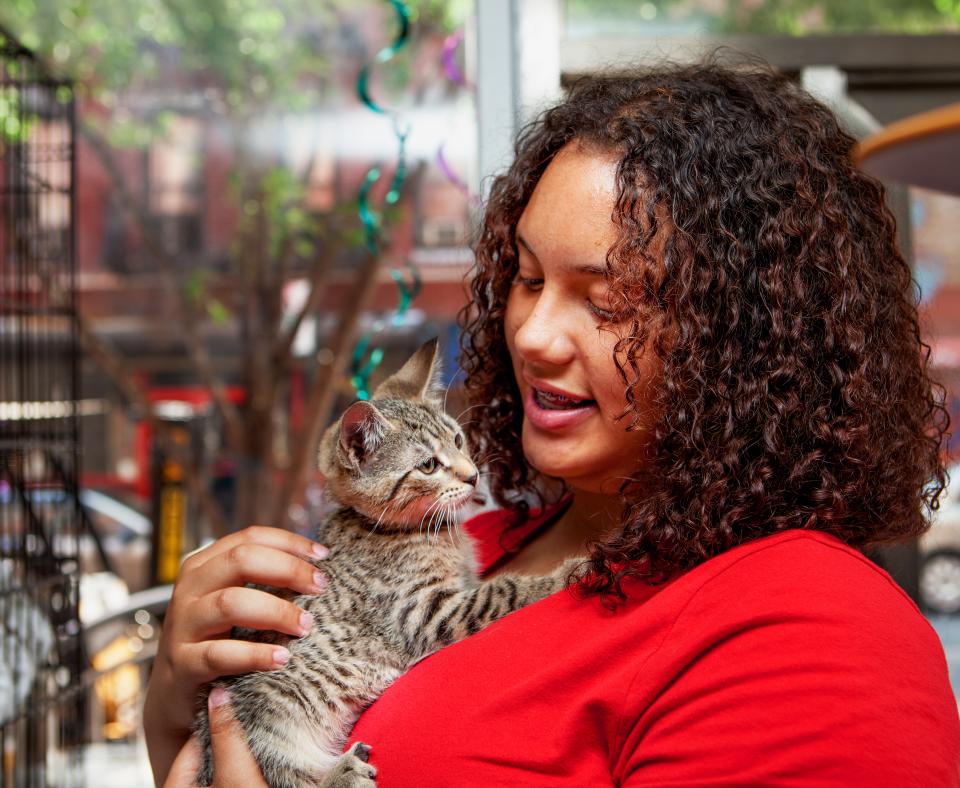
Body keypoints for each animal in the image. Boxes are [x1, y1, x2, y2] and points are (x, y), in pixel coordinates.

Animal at [191, 338, 572, 788]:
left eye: (458, 439)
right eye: (428, 465)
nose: (473, 476)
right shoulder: (420, 612)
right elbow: (503, 590)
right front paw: (574, 570)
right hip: (267, 714)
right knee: (287, 774)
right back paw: (341, 773)